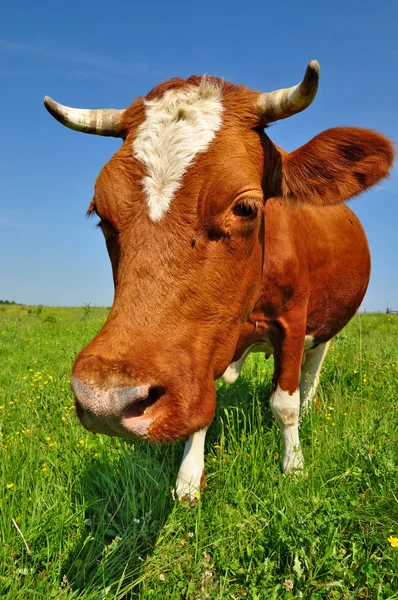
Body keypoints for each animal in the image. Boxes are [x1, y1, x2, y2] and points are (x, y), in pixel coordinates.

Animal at [45, 61, 394, 502]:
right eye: (101, 214)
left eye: (245, 207)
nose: (105, 400)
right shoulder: (200, 344)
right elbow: (201, 407)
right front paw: (188, 480)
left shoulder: (292, 322)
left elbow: (284, 404)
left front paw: (294, 467)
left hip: (325, 326)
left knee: (311, 373)